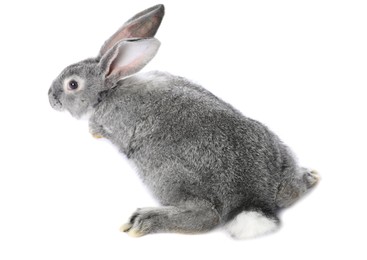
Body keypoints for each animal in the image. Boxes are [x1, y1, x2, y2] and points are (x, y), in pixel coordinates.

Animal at [48, 4, 320, 240]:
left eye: (72, 84)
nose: (50, 98)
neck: (108, 90)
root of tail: (252, 196)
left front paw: (93, 132)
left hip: (164, 176)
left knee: (207, 216)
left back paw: (143, 221)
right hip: (276, 149)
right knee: (290, 192)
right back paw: (309, 177)